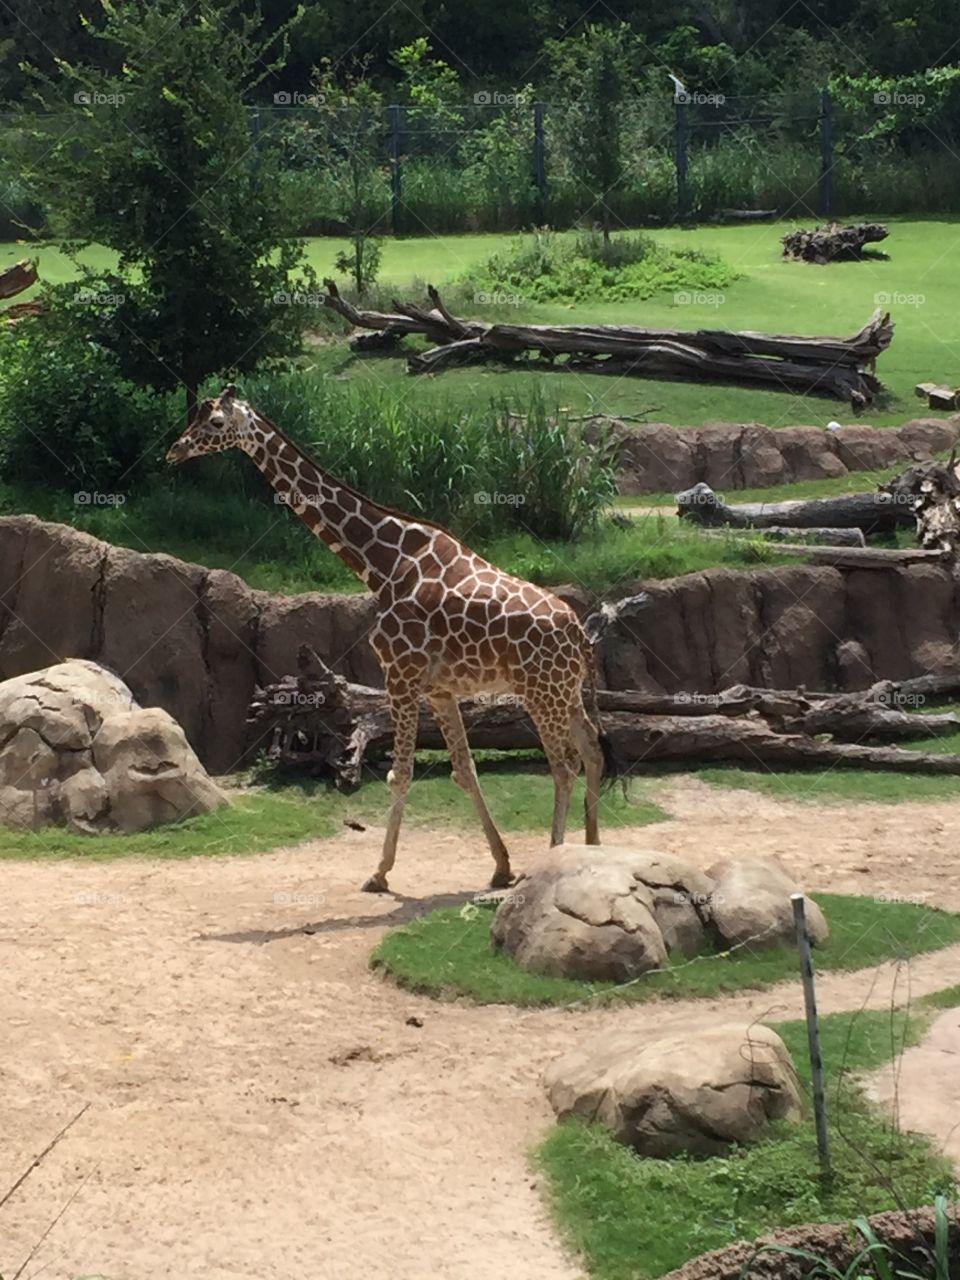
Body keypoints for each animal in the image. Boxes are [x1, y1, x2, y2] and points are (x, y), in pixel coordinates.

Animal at [166, 386, 605, 892]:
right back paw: (594, 850)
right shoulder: (439, 690)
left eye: (216, 423)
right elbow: (465, 770)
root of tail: (580, 634)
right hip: (564, 692)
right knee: (593, 751)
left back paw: (556, 858)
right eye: (196, 417)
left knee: (564, 764)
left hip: (540, 692)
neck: (383, 565)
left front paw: (379, 873)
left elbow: (402, 773)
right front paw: (501, 866)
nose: (174, 450)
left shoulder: (400, 676)